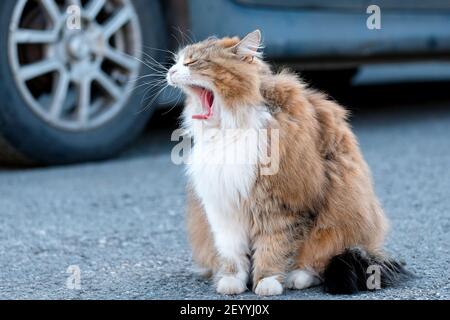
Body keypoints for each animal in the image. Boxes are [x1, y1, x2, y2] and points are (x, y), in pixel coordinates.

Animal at [167, 30, 410, 296]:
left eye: (192, 62)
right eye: (178, 61)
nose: (170, 70)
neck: (229, 131)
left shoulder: (281, 206)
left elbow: (273, 249)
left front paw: (267, 282)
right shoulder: (223, 207)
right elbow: (232, 254)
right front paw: (232, 281)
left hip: (338, 221)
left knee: (317, 261)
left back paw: (297, 277)